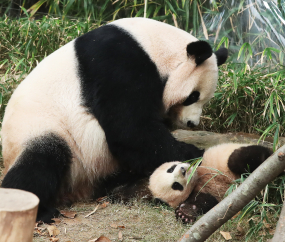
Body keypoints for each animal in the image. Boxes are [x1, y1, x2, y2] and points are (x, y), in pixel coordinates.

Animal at [0, 17, 226, 223]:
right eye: (193, 96)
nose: (192, 124)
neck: (153, 45)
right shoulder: (116, 62)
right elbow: (130, 129)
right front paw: (195, 153)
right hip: (40, 128)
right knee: (40, 163)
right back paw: (39, 210)